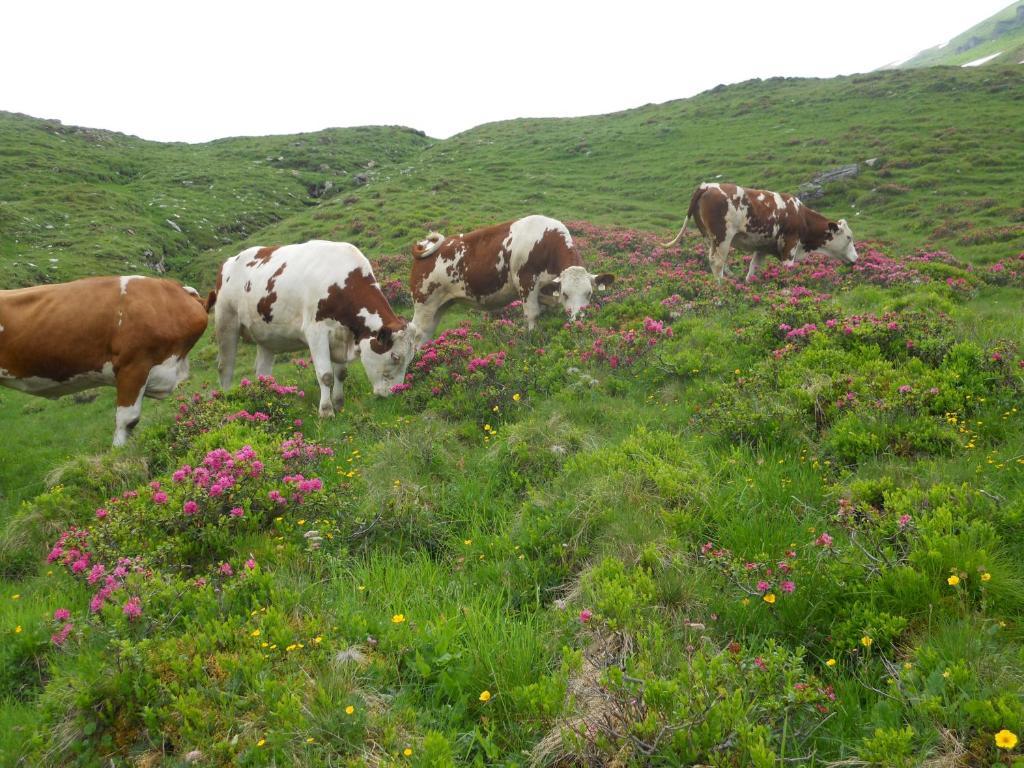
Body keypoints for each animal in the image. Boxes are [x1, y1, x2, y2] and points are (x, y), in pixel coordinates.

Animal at [211, 240, 419, 415]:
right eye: (395, 357)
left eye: (410, 358)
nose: (395, 393)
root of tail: (230, 261)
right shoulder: (316, 333)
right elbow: (325, 375)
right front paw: (326, 411)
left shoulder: (342, 335)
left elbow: (341, 374)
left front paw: (339, 404)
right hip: (226, 321)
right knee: (225, 368)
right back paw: (227, 403)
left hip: (266, 336)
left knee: (263, 373)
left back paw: (268, 396)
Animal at [409, 218, 614, 348]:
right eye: (565, 293)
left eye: (589, 293)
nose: (578, 319)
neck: (545, 242)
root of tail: (429, 246)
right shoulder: (526, 283)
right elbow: (532, 315)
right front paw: (532, 340)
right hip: (424, 304)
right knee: (416, 335)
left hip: (439, 306)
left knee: (425, 335)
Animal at [659, 183, 860, 282]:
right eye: (849, 237)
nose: (857, 258)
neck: (801, 215)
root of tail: (707, 186)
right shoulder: (790, 245)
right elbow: (788, 270)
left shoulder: (762, 247)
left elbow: (753, 269)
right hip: (723, 236)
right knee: (717, 263)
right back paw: (721, 288)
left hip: (710, 238)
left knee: (715, 260)